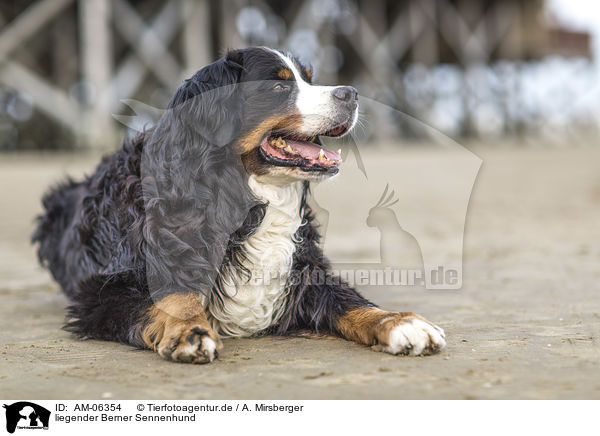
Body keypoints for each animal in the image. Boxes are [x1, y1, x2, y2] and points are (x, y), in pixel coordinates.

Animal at [34, 46, 446, 362]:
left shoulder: (305, 271)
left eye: (308, 78)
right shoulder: (105, 290)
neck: (250, 198)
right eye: (279, 85)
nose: (352, 93)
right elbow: (173, 296)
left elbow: (350, 301)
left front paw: (401, 322)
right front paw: (189, 331)